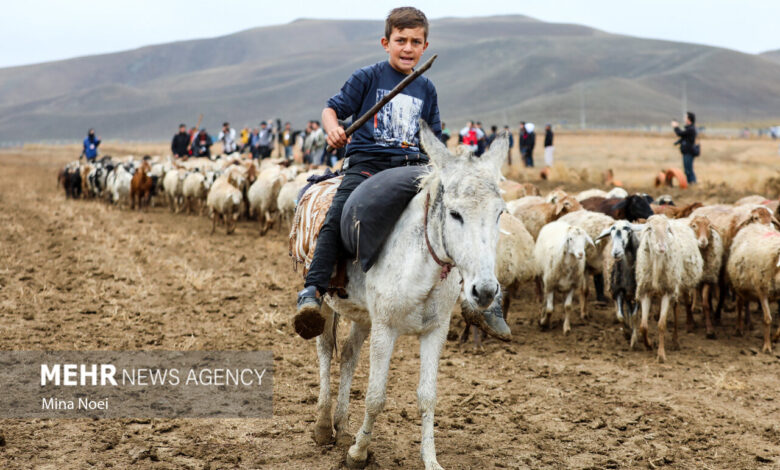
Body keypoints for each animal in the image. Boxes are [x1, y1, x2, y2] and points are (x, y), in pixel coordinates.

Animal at [632, 215, 700, 362]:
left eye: (668, 229)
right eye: (650, 228)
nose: (662, 247)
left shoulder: (668, 293)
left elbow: (661, 324)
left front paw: (661, 354)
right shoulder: (645, 292)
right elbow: (643, 326)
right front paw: (649, 344)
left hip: (678, 285)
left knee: (677, 309)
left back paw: (676, 341)